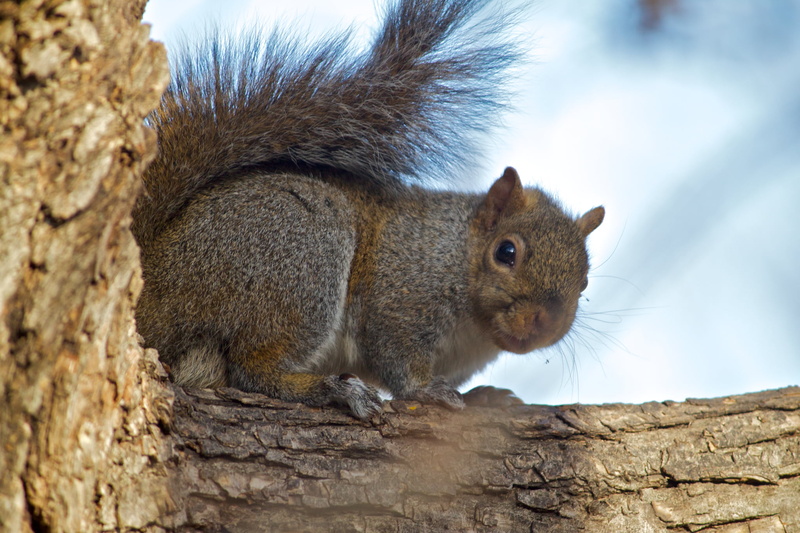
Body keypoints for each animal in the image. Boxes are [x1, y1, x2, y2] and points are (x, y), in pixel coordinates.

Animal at [132, 0, 604, 419]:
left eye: (584, 283)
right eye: (506, 252)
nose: (544, 322)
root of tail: (151, 275)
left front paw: (483, 399)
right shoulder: (398, 298)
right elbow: (396, 358)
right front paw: (425, 391)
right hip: (299, 252)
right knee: (253, 369)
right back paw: (329, 389)